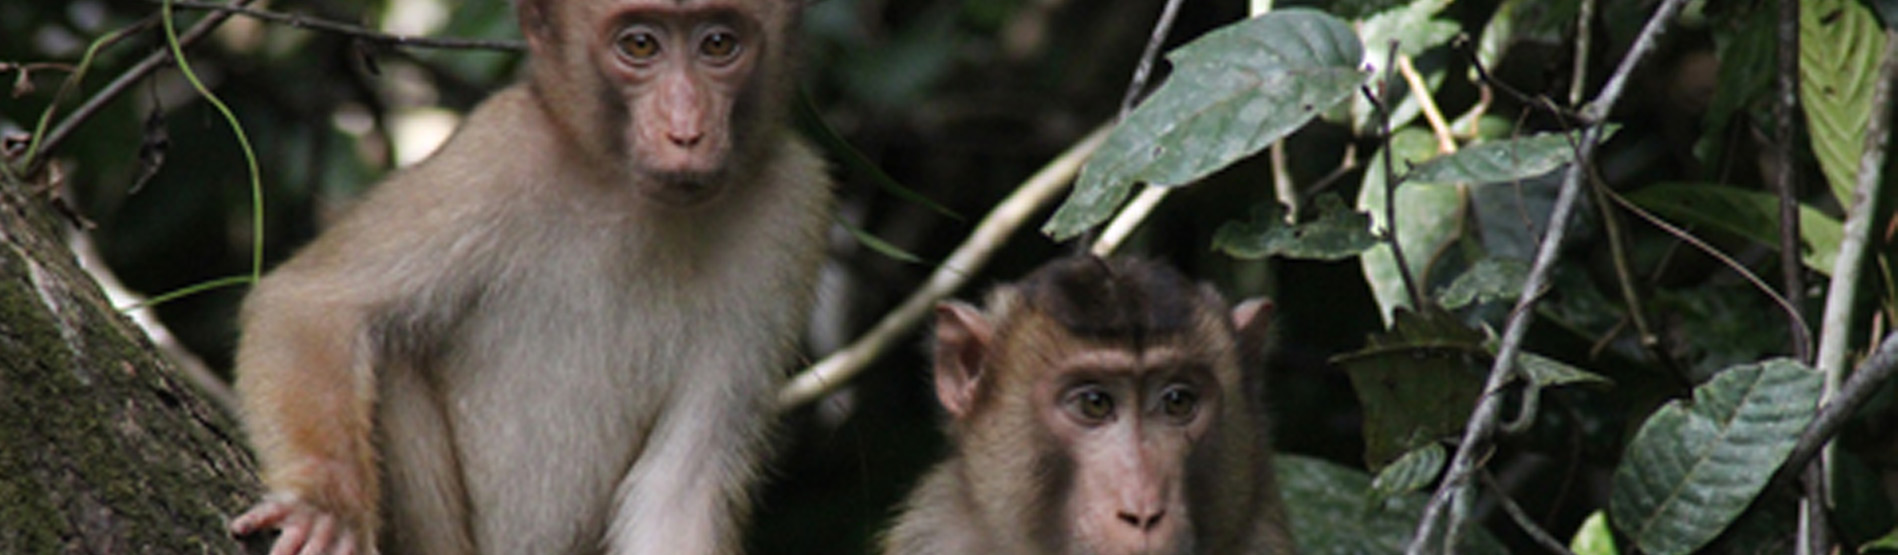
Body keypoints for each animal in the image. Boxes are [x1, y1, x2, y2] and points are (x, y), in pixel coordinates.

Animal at [224, 0, 829, 553]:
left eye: (719, 44)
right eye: (639, 46)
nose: (686, 132)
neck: (628, 193)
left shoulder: (791, 210)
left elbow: (680, 487)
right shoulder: (500, 151)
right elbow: (311, 304)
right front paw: (325, 506)